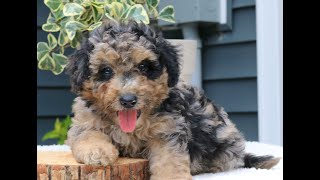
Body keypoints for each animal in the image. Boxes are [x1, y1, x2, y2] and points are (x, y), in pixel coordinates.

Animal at [65, 20, 280, 179]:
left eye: (143, 67)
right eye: (106, 71)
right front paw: (97, 152)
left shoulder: (168, 130)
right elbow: (88, 134)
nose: (128, 100)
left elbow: (170, 160)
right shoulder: (85, 122)